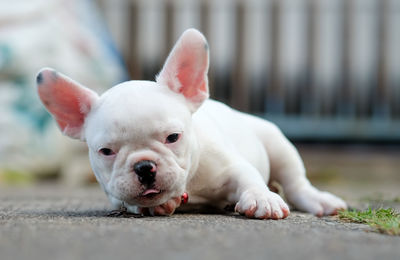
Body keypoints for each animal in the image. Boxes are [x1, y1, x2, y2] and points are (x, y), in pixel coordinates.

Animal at [36, 29, 346, 219]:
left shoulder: (233, 166)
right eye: (106, 152)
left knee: (296, 182)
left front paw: (263, 199)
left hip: (278, 144)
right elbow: (129, 201)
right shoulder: (116, 195)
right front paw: (162, 204)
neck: (190, 188)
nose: (144, 167)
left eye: (173, 137)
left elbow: (249, 178)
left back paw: (320, 201)